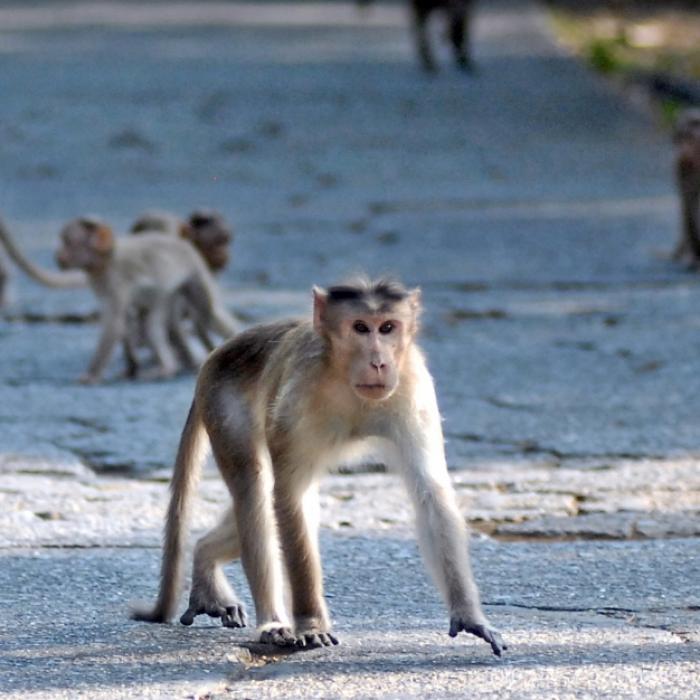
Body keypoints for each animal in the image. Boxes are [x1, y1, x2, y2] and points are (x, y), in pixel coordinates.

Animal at [55, 216, 237, 383]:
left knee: (208, 313)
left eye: (67, 242)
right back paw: (171, 366)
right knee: (151, 321)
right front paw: (131, 368)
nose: (59, 255)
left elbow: (115, 323)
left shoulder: (116, 279)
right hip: (167, 293)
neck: (106, 259)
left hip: (194, 270)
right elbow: (125, 323)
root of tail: (186, 244)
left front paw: (92, 375)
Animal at [131, 277, 506, 657]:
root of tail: (216, 354)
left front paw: (470, 617)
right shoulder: (298, 399)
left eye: (387, 327)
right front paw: (311, 625)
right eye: (360, 327)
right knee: (256, 489)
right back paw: (272, 622)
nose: (379, 362)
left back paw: (205, 556)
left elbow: (430, 492)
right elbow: (290, 497)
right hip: (223, 402)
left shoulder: (415, 391)